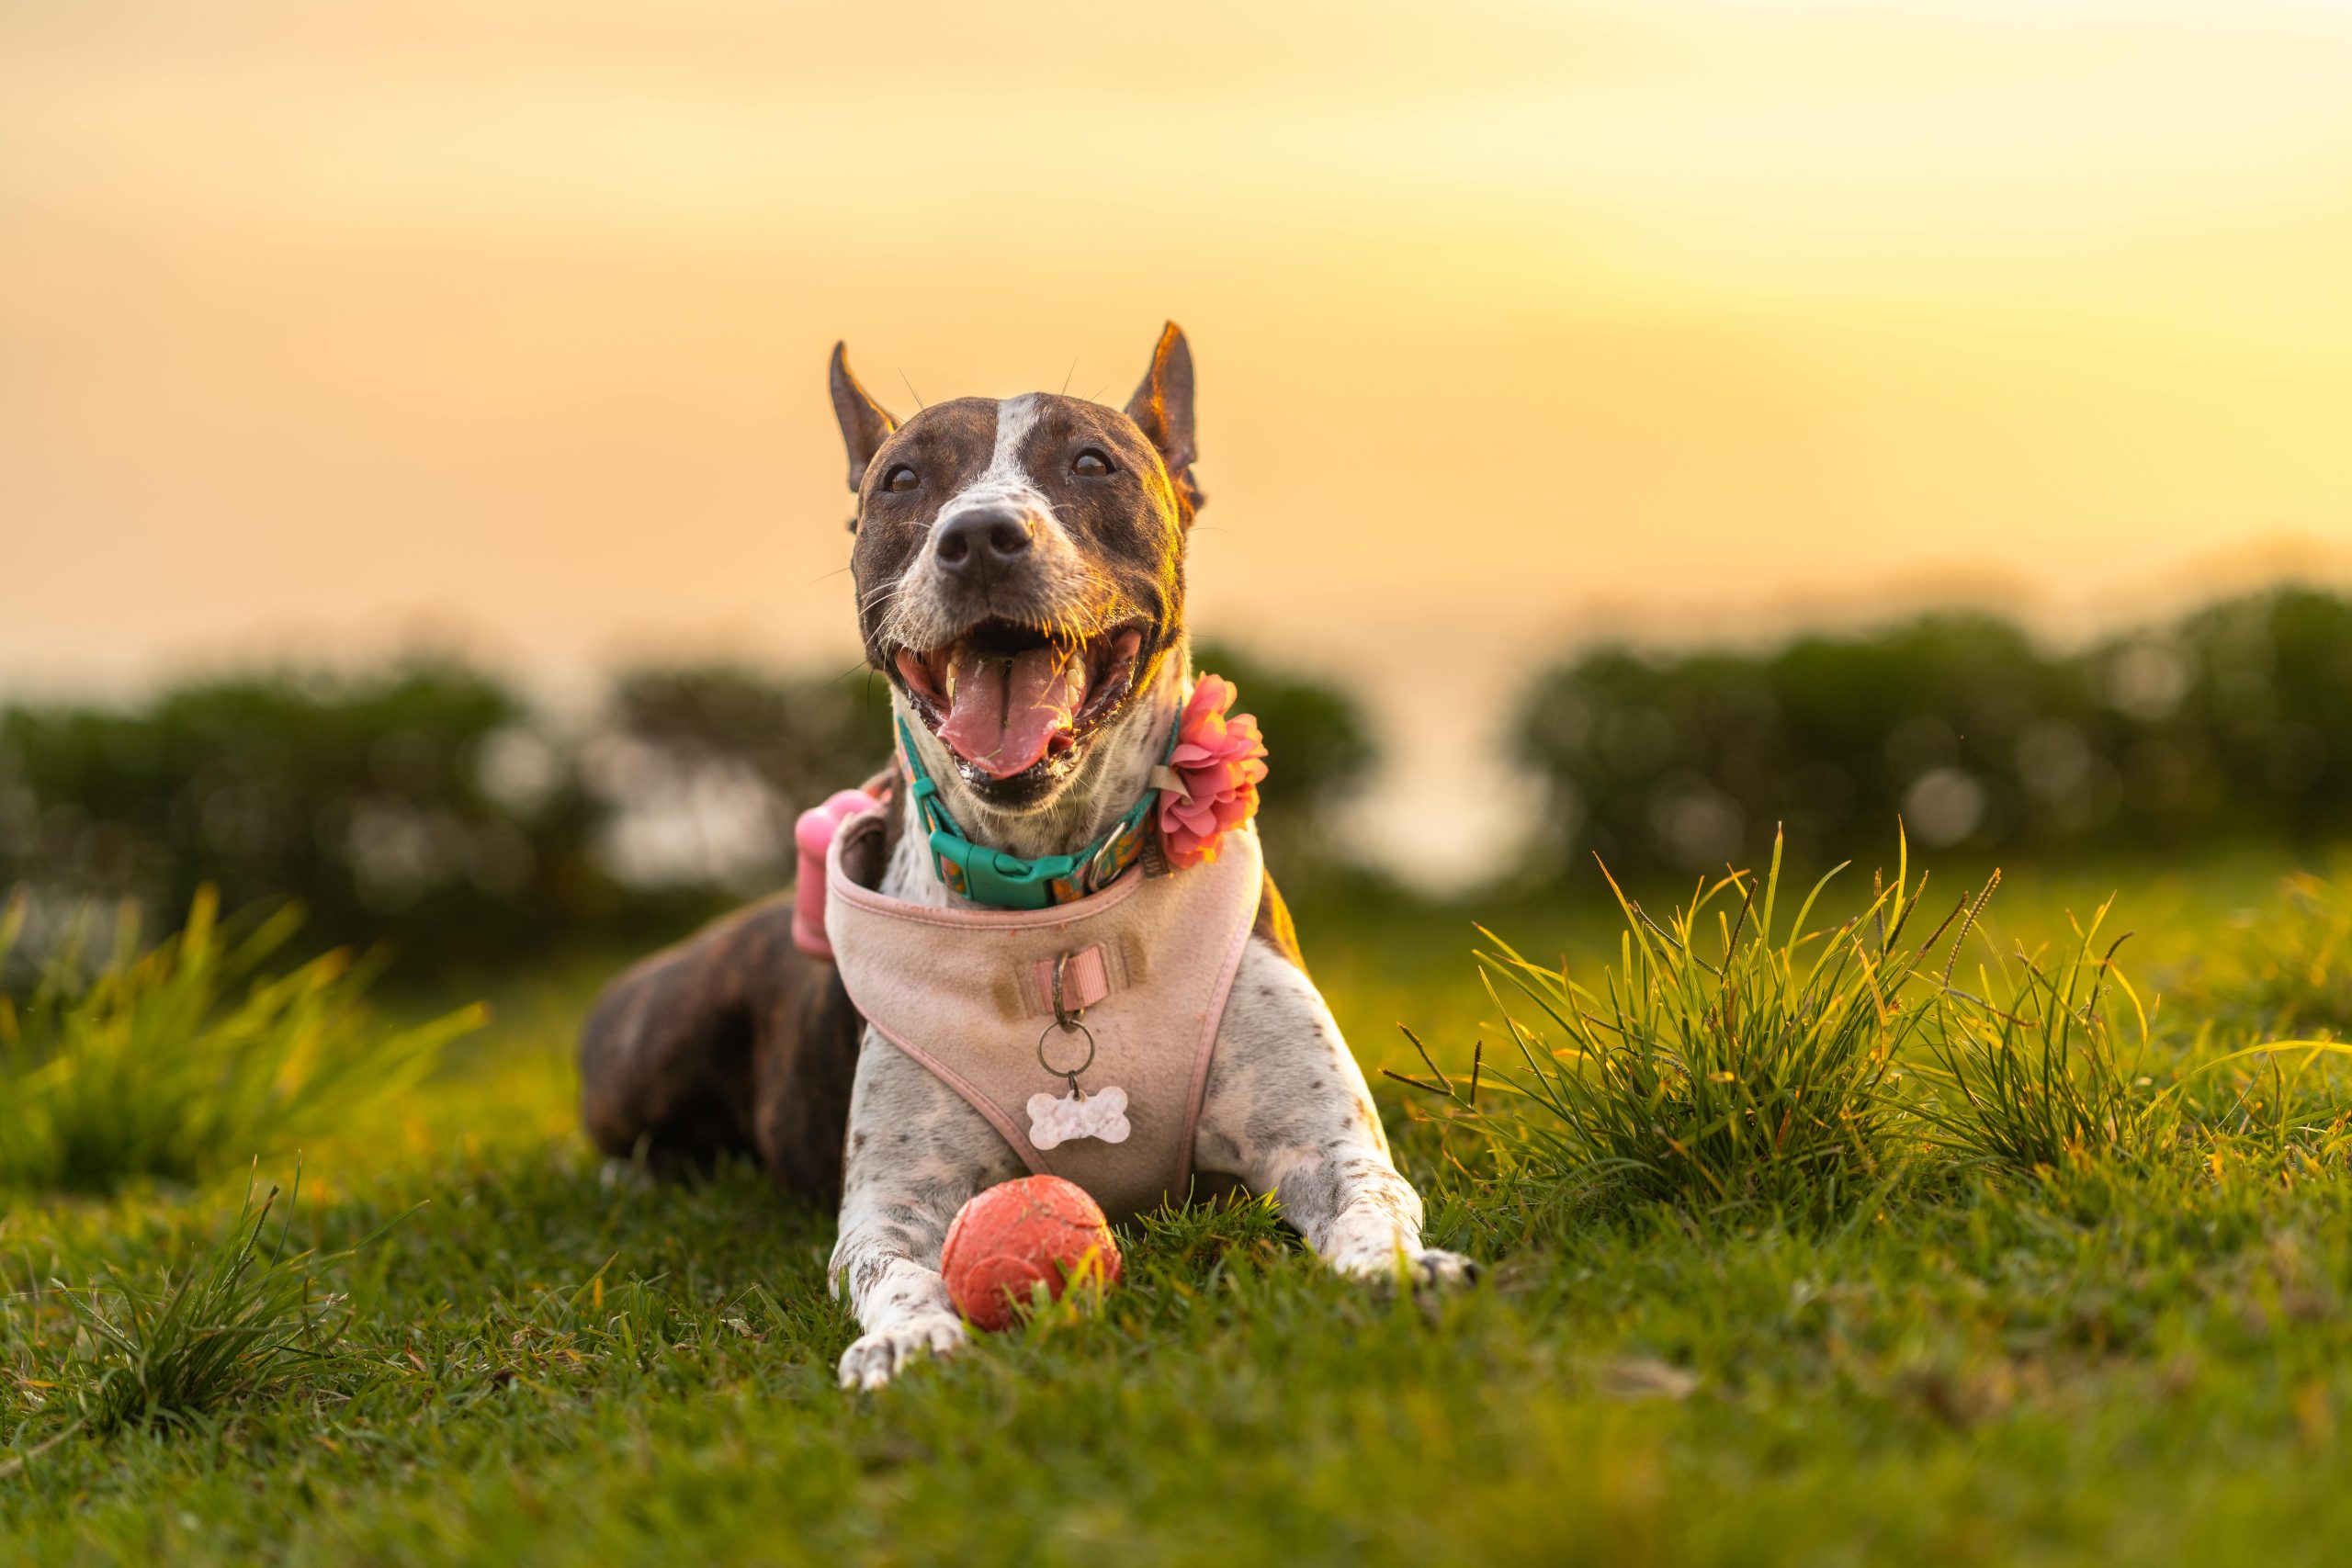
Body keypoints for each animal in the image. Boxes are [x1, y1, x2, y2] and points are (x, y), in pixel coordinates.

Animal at [573, 324, 1467, 1392]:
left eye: (1091, 462)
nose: (980, 537)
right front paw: (907, 1338)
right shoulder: (895, 1202)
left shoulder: (1321, 1142)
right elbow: (895, 1268)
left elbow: (1373, 1201)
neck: (1052, 897)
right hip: (653, 1045)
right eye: (903, 479)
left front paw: (1399, 1268)